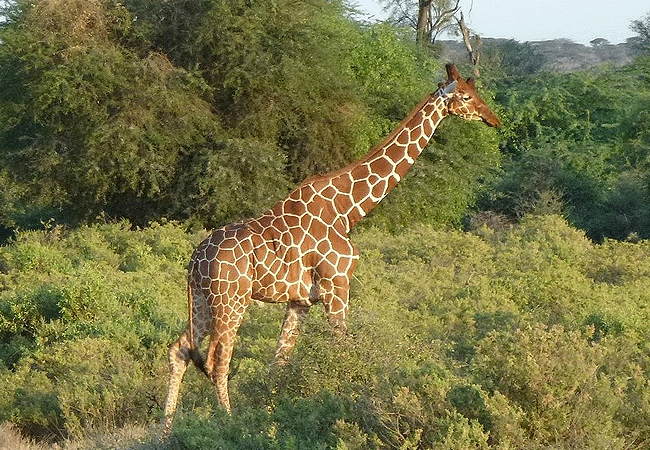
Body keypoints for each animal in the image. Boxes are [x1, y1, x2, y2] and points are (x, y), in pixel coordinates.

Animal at [161, 63, 496, 432]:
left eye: (476, 92)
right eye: (465, 96)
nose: (492, 119)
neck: (347, 210)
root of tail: (194, 261)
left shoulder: (300, 300)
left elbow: (280, 363)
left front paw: (271, 417)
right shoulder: (338, 285)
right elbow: (341, 349)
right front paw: (342, 407)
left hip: (202, 300)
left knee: (180, 349)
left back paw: (165, 429)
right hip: (231, 300)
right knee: (217, 359)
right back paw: (227, 422)